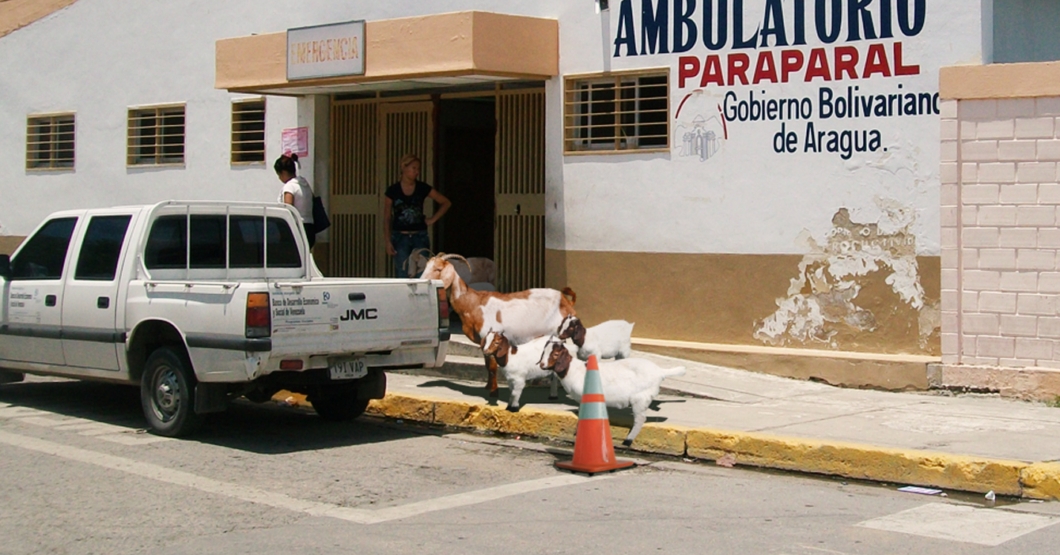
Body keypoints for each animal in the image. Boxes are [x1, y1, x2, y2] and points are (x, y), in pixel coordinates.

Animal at [419, 253, 580, 396]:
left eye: (438, 269)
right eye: (426, 266)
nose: (421, 281)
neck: (473, 303)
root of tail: (566, 302)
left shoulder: (491, 336)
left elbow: (492, 366)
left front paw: (493, 392)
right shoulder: (483, 341)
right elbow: (487, 365)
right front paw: (487, 387)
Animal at [538, 334, 686, 446]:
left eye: (556, 353)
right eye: (544, 351)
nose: (542, 365)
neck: (573, 370)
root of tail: (660, 372)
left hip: (640, 398)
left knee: (640, 419)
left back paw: (628, 440)